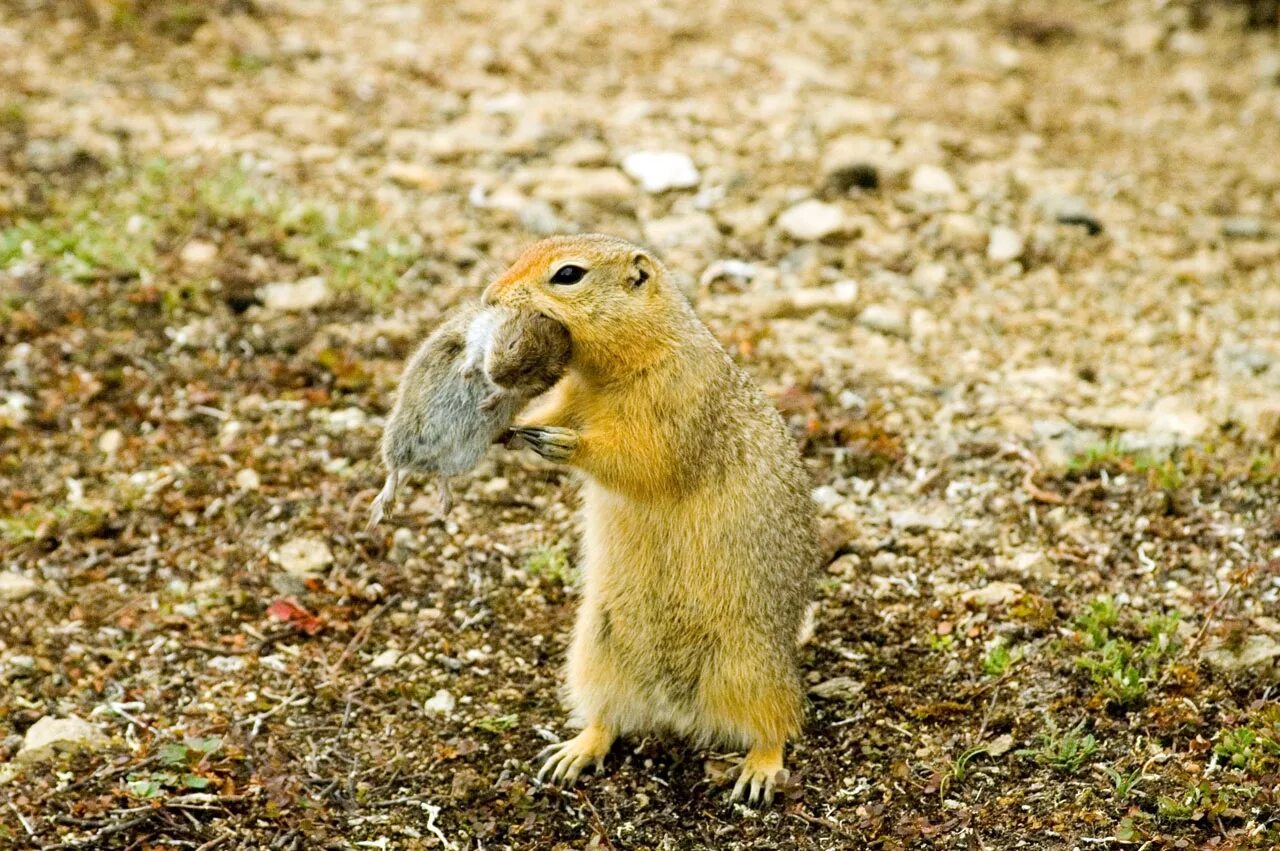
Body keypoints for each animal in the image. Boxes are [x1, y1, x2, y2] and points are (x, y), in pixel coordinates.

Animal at [371, 305, 570, 527]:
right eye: (513, 343)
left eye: (529, 369)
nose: (494, 375)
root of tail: (420, 463)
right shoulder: (480, 328)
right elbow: (474, 352)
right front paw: (465, 372)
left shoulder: (527, 389)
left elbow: (508, 392)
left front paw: (486, 404)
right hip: (400, 435)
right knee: (394, 470)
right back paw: (386, 506)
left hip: (465, 457)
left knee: (440, 475)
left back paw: (445, 506)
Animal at [481, 232, 819, 803]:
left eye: (567, 274)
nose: (490, 296)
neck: (611, 371)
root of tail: (675, 709)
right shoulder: (572, 393)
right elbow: (556, 412)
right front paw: (516, 426)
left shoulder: (674, 402)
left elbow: (641, 460)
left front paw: (563, 444)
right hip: (593, 653)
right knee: (607, 718)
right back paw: (573, 753)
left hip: (752, 666)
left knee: (778, 723)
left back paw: (758, 773)